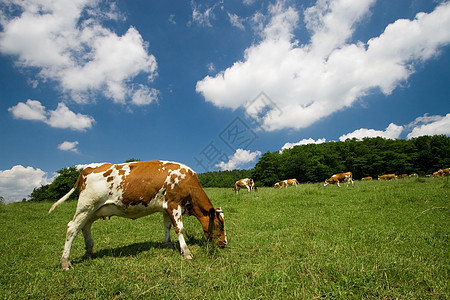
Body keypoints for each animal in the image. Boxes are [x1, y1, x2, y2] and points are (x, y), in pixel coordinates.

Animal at [48, 161, 229, 270]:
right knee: (72, 228)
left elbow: (167, 226)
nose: (224, 243)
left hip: (93, 210)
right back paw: (65, 262)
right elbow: (179, 228)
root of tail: (86, 168)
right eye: (220, 225)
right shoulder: (174, 203)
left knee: (85, 226)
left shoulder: (166, 208)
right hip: (86, 206)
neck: (187, 180)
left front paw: (168, 244)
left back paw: (89, 250)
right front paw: (186, 252)